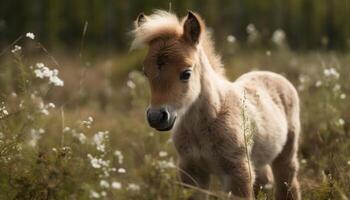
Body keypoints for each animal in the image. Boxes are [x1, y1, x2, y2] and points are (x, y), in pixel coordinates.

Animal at [131, 11, 300, 200]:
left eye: (186, 73)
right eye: (146, 72)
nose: (156, 117)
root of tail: (272, 75)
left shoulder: (238, 172)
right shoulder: (191, 172)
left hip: (286, 154)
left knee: (289, 184)